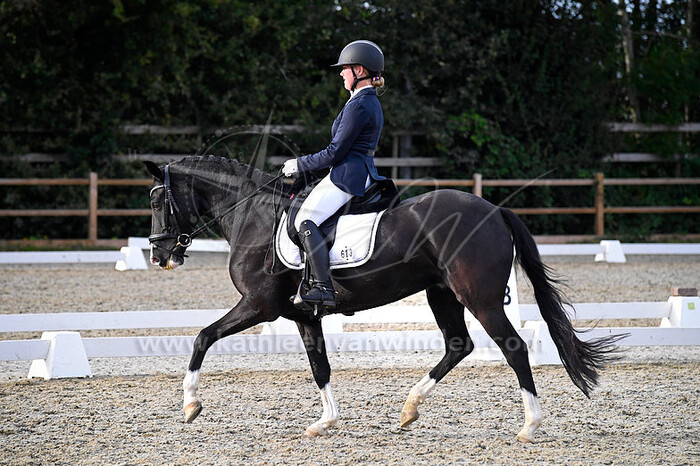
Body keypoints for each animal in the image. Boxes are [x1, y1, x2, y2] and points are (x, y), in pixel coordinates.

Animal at [144, 155, 622, 442]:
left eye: (156, 200)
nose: (158, 255)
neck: (251, 215)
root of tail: (494, 210)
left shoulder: (259, 306)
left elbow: (202, 337)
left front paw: (190, 405)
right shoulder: (303, 315)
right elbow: (320, 367)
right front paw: (325, 422)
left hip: (480, 298)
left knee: (514, 347)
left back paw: (529, 425)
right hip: (442, 293)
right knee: (458, 345)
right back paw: (409, 409)